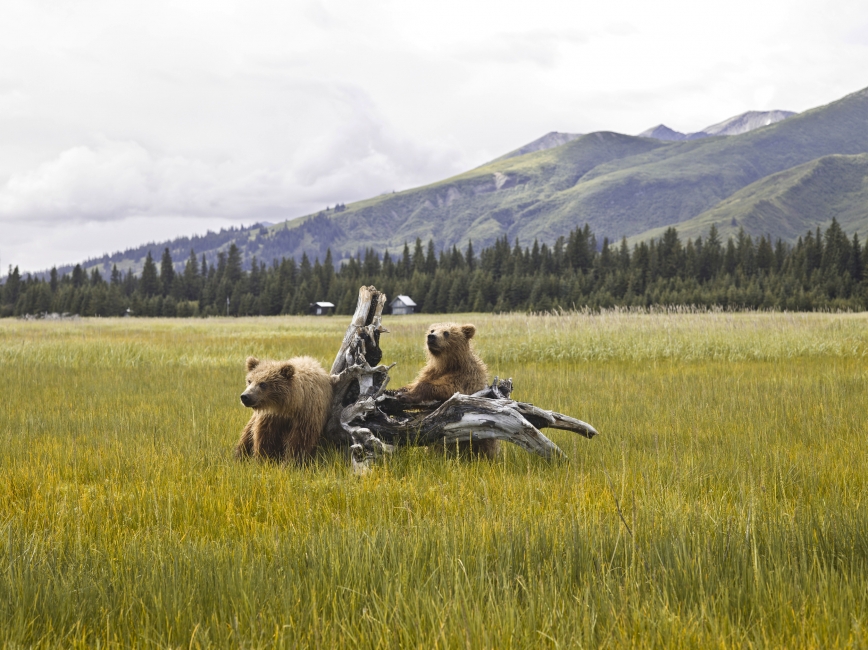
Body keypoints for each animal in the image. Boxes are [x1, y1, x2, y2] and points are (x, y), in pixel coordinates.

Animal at [397, 322, 499, 458]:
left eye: (446, 333)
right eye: (432, 330)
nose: (431, 337)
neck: (446, 364)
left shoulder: (466, 377)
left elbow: (448, 389)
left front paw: (406, 395)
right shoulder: (431, 372)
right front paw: (400, 390)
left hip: (480, 442)